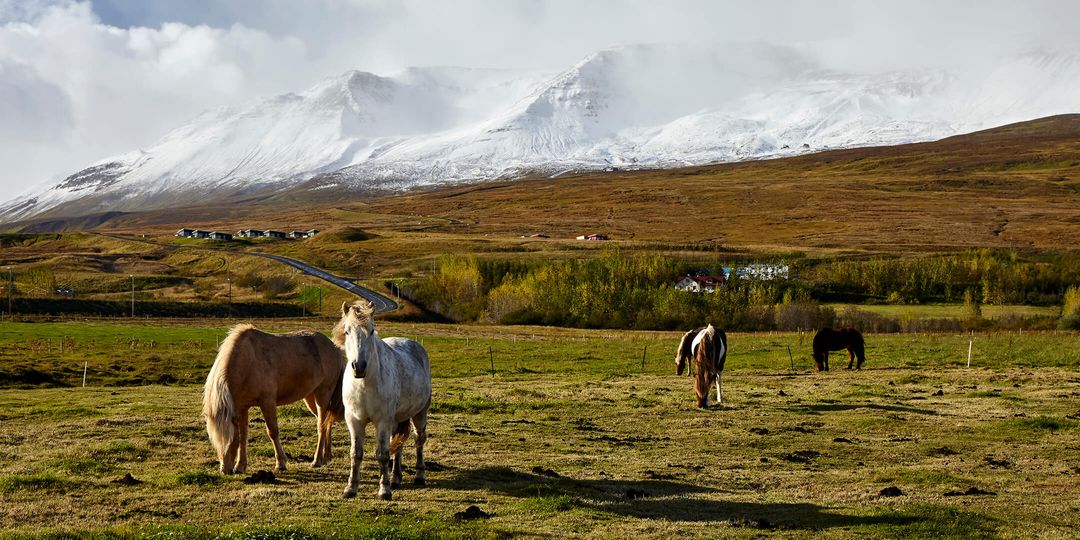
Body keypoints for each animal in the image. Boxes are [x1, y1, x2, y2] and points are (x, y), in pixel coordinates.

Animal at [203, 324, 345, 473]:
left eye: (230, 439)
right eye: (214, 439)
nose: (224, 470)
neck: (248, 362)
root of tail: (334, 347)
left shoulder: (267, 402)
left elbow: (272, 431)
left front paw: (281, 463)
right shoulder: (242, 407)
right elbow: (243, 435)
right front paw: (240, 466)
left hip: (322, 395)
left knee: (321, 425)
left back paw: (317, 460)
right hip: (310, 397)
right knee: (327, 422)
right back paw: (326, 457)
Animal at [334, 298, 432, 498]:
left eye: (371, 331)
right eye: (347, 331)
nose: (359, 366)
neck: (364, 384)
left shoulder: (383, 421)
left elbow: (383, 454)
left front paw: (384, 490)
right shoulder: (354, 420)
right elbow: (356, 453)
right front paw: (351, 488)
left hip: (419, 414)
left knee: (418, 440)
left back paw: (419, 476)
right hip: (398, 419)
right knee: (399, 443)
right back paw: (396, 478)